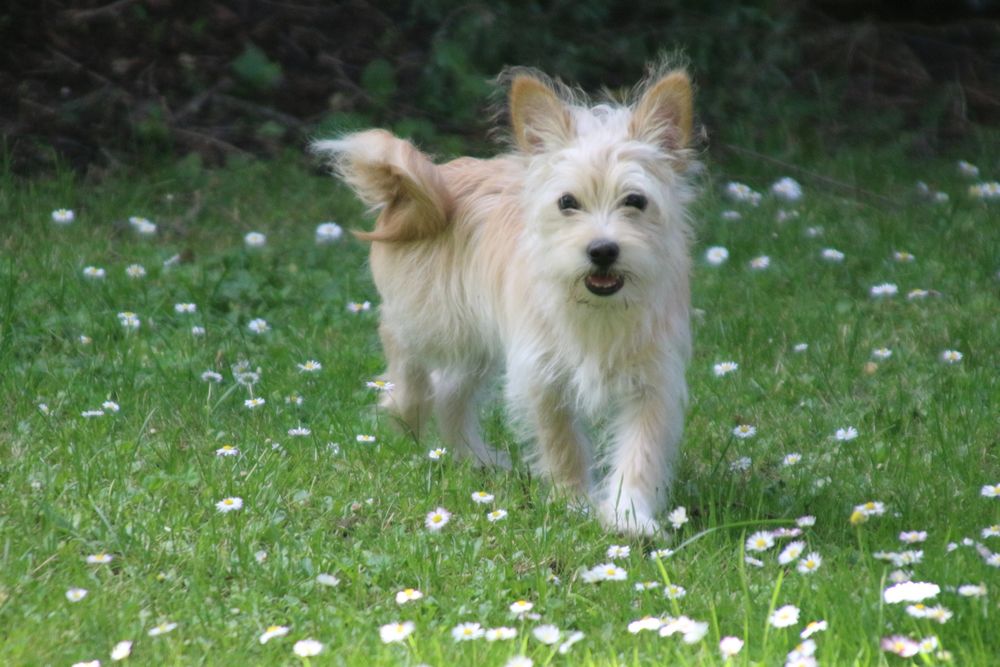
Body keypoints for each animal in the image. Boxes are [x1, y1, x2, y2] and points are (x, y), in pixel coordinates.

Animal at [312, 65, 696, 536]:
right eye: (567, 202)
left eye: (636, 201)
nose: (603, 250)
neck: (597, 311)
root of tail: (436, 179)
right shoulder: (543, 376)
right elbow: (562, 444)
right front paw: (574, 502)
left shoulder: (652, 382)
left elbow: (642, 450)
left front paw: (630, 516)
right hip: (433, 319)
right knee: (399, 346)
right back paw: (404, 407)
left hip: (475, 347)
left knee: (450, 394)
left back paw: (475, 459)